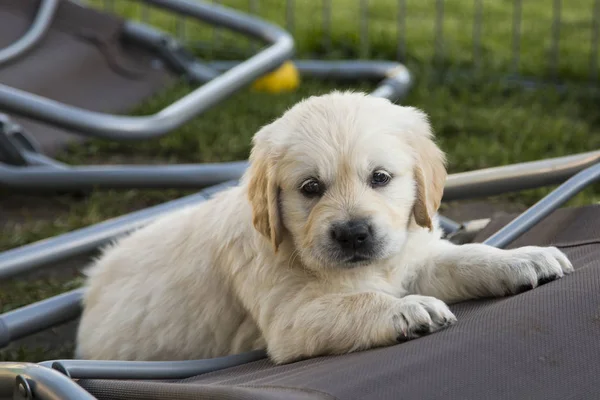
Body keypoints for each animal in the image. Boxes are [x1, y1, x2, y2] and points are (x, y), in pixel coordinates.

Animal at [75, 91, 572, 366]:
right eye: (310, 188)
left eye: (380, 178)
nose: (353, 234)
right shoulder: (290, 317)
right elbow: (357, 302)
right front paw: (406, 310)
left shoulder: (411, 259)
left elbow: (467, 257)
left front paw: (523, 258)